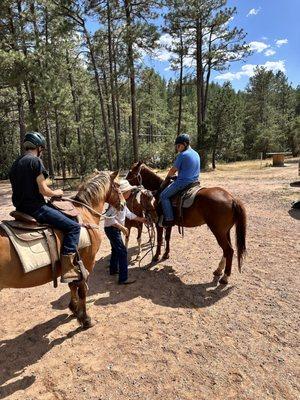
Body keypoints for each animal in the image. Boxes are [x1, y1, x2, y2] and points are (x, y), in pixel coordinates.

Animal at [0, 170, 124, 330]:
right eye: (118, 185)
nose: (123, 204)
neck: (85, 212)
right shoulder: (87, 262)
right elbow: (82, 290)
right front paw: (85, 319)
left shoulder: (73, 265)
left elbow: (72, 285)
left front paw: (74, 309)